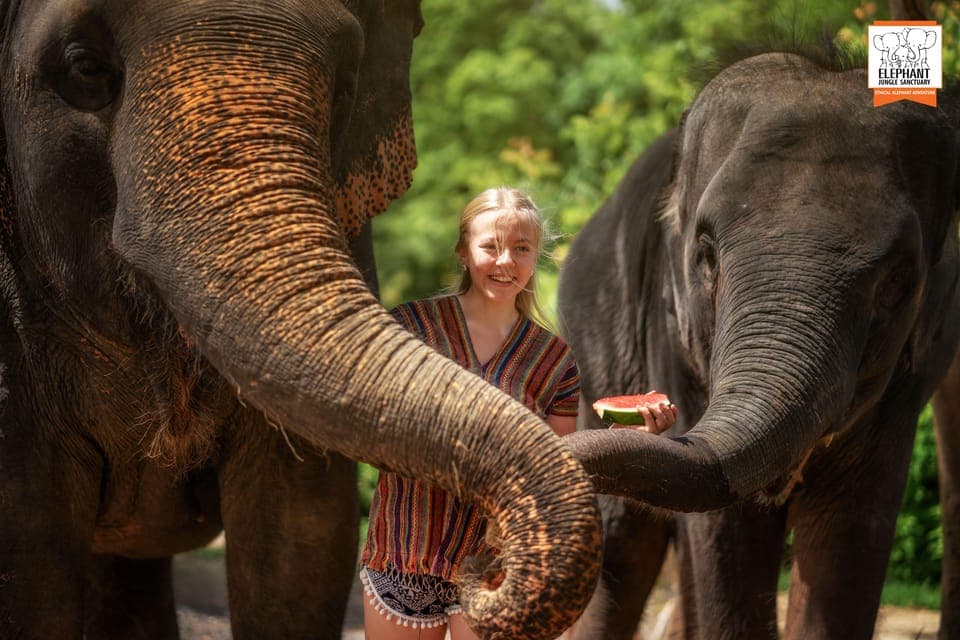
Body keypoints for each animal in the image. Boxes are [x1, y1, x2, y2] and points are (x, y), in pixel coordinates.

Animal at [557, 51, 960, 639]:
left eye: (897, 283)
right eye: (705, 256)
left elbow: (851, 536)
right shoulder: (673, 338)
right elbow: (725, 534)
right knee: (624, 550)